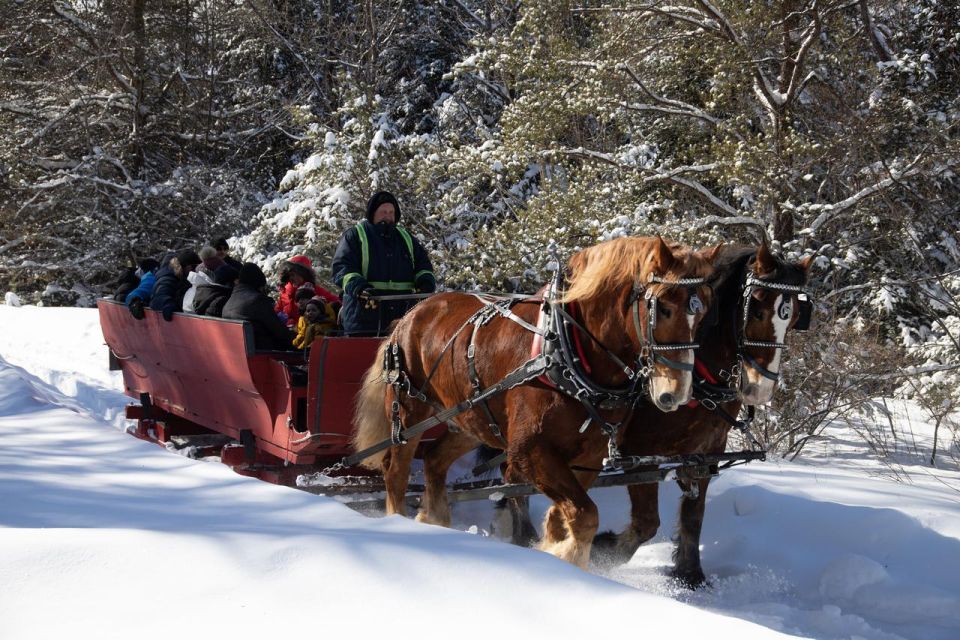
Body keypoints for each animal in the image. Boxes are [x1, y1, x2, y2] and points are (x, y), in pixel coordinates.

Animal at [352, 238, 720, 568]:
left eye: (702, 315)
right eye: (664, 309)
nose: (676, 393)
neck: (570, 350)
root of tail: (410, 315)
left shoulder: (588, 458)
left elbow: (566, 516)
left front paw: (554, 548)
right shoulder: (529, 450)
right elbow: (585, 515)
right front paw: (565, 558)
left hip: (471, 419)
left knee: (434, 460)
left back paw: (435, 521)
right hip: (410, 412)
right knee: (396, 471)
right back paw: (401, 526)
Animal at [592, 244, 808, 584]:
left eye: (797, 316)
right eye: (757, 310)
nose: (759, 389)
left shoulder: (706, 451)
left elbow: (694, 516)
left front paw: (690, 573)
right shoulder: (638, 451)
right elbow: (645, 523)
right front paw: (601, 549)